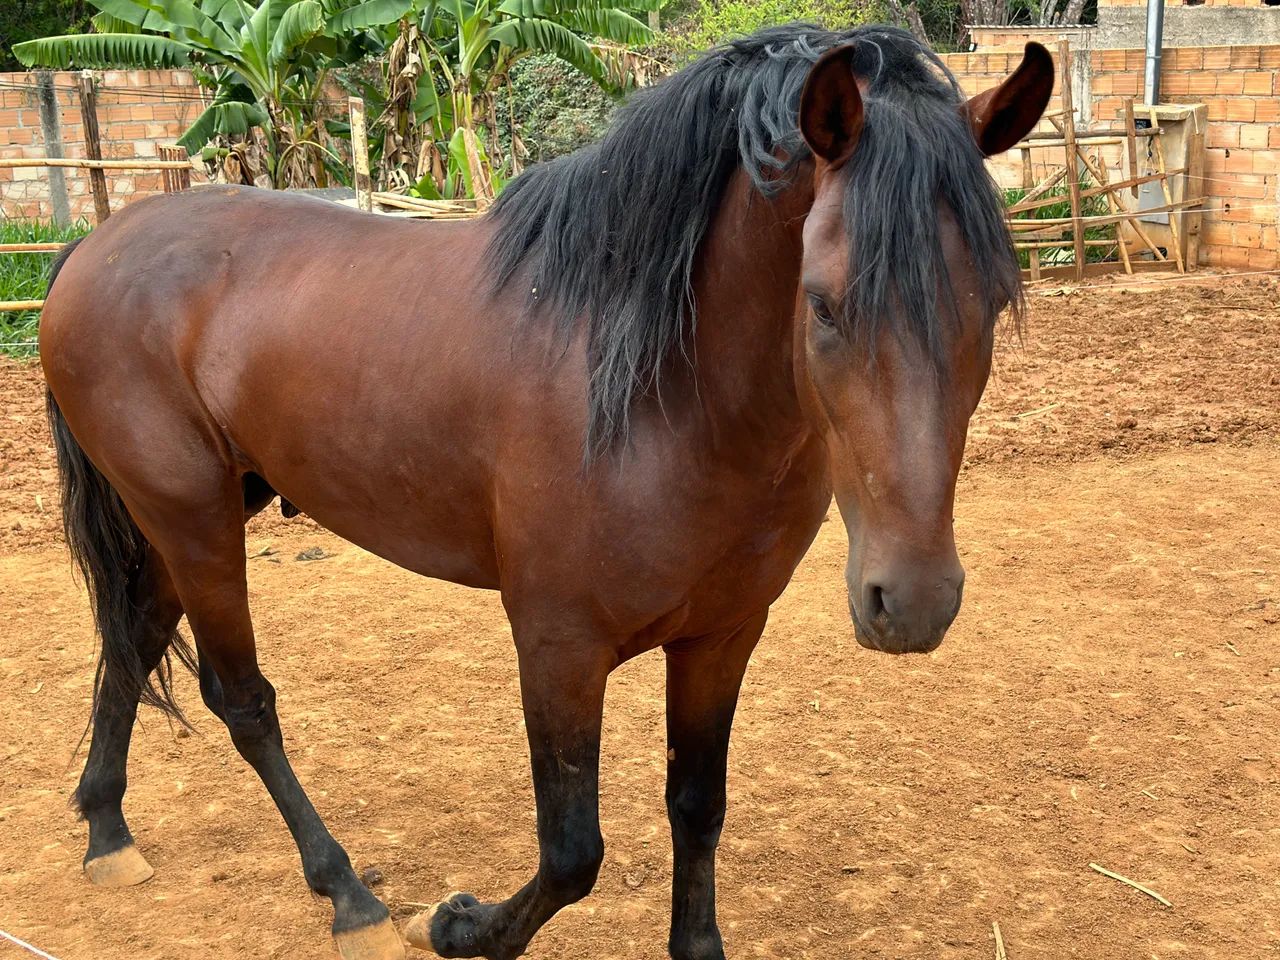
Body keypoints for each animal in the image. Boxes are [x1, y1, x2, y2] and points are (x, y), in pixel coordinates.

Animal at [39, 24, 1051, 960]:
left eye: (996, 303)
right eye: (825, 304)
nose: (912, 602)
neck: (654, 389)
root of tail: (96, 244)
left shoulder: (723, 635)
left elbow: (698, 806)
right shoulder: (559, 646)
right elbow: (573, 853)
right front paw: (462, 926)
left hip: (194, 514)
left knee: (133, 639)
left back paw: (107, 829)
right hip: (194, 517)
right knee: (240, 698)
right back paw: (346, 894)